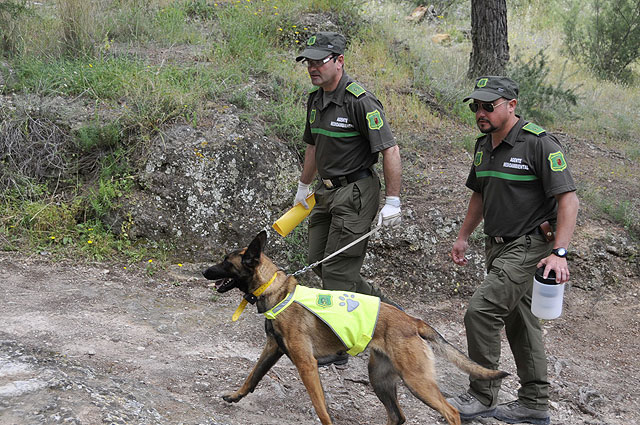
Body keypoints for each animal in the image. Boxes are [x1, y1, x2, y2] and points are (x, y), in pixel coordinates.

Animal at [202, 230, 508, 422]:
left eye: (225, 262)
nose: (204, 271)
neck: (276, 291)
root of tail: (413, 320)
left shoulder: (306, 365)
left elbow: (321, 407)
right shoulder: (272, 349)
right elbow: (252, 376)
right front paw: (235, 395)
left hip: (416, 380)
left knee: (449, 412)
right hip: (380, 379)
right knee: (398, 416)